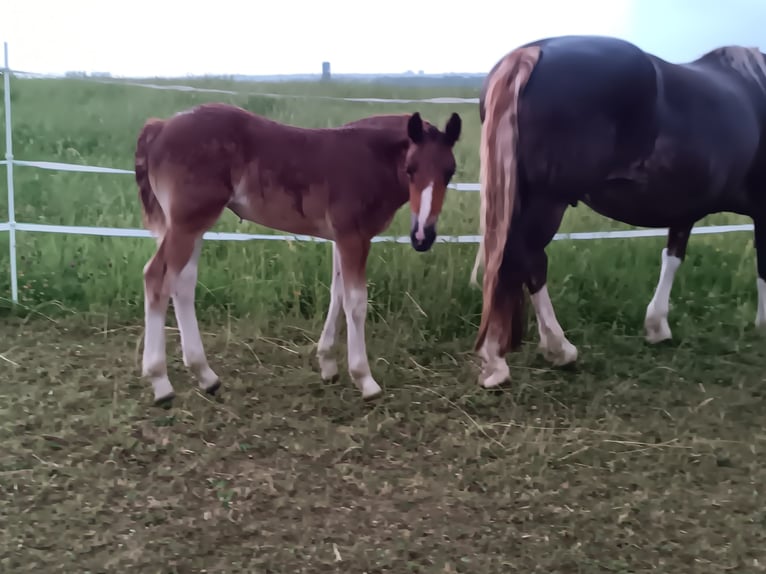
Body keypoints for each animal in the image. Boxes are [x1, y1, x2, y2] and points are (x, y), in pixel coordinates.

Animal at [134, 102, 462, 405]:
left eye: (449, 172)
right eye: (410, 169)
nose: (422, 236)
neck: (372, 158)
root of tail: (160, 127)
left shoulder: (340, 238)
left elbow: (337, 293)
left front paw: (328, 365)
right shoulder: (354, 237)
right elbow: (356, 302)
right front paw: (365, 380)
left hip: (193, 226)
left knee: (182, 284)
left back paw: (206, 376)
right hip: (186, 224)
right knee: (156, 278)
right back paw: (161, 383)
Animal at [472, 34, 766, 389]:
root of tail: (530, 54)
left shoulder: (684, 209)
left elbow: (673, 256)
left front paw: (657, 327)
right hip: (548, 200)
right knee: (527, 258)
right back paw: (544, 352)